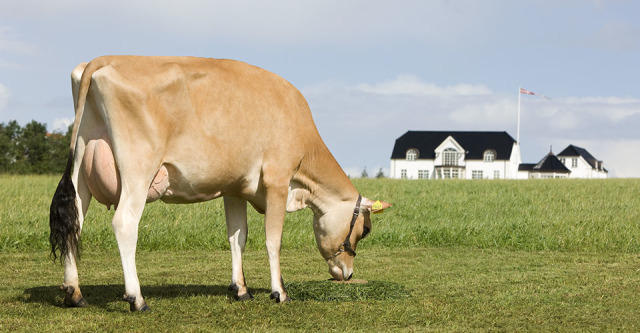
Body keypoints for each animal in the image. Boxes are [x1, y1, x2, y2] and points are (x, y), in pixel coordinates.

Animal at [48, 55, 390, 310]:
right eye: (365, 230)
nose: (347, 274)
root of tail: (105, 59)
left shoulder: (234, 187)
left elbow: (237, 237)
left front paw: (241, 289)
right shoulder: (278, 181)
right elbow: (273, 240)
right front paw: (279, 292)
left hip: (82, 170)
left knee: (73, 224)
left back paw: (74, 293)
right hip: (138, 170)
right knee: (124, 224)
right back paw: (137, 298)